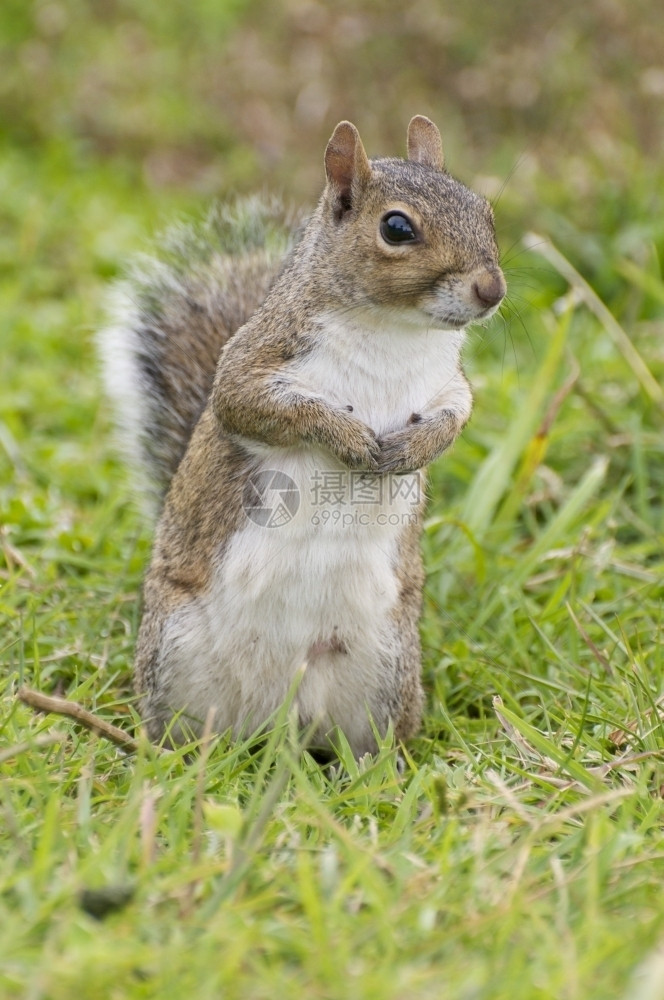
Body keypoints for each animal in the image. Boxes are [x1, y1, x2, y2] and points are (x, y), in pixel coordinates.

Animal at [100, 115, 504, 756]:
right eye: (396, 228)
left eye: (486, 211)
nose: (492, 290)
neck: (394, 332)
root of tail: (278, 719)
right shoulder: (255, 362)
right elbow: (253, 405)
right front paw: (349, 438)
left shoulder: (450, 386)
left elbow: (455, 420)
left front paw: (411, 450)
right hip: (174, 652)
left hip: (385, 668)